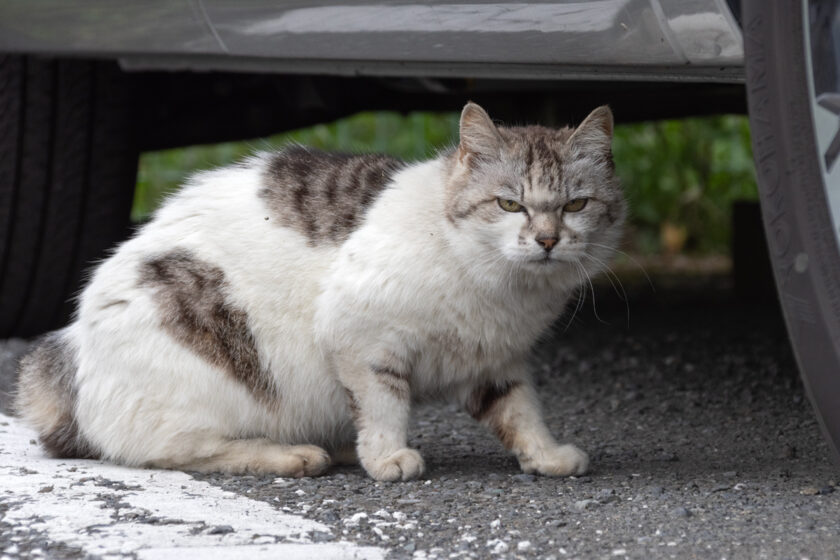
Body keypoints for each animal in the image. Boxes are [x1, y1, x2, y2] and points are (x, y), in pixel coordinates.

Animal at [14, 101, 624, 482]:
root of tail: (67, 357)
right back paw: (295, 455)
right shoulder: (359, 334)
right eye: (509, 204)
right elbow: (383, 404)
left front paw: (546, 456)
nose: (547, 239)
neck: (505, 290)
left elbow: (521, 412)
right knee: (170, 451)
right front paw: (388, 458)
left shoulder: (496, 360)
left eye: (575, 204)